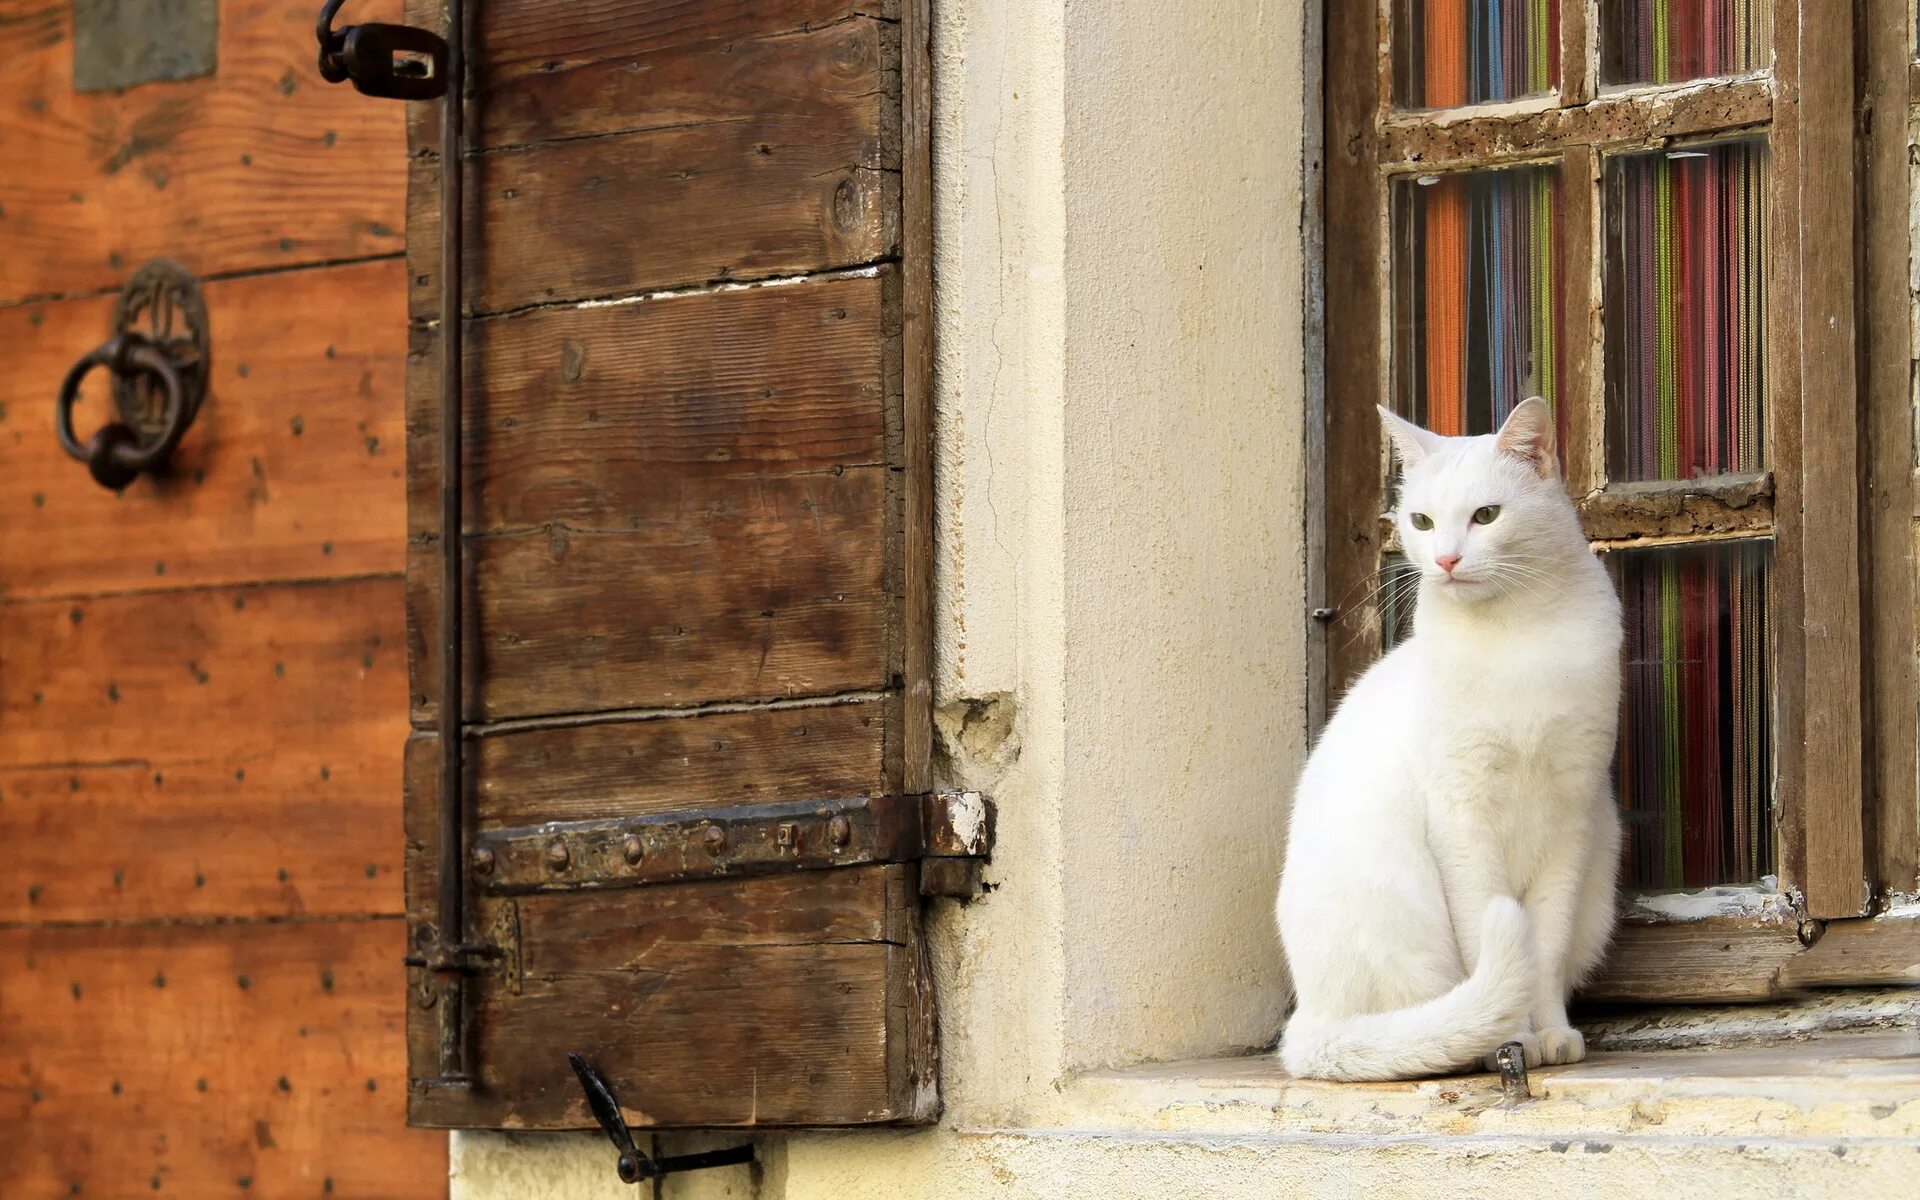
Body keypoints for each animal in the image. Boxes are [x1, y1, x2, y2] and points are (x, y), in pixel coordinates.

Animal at [1274, 397, 1620, 1082]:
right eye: (1422, 521)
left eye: (1486, 515)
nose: (1447, 561)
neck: (1516, 635)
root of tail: (1310, 1021)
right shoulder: (1461, 816)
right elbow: (1487, 934)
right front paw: (1512, 1040)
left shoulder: (1573, 817)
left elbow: (1544, 949)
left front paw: (1549, 1034)